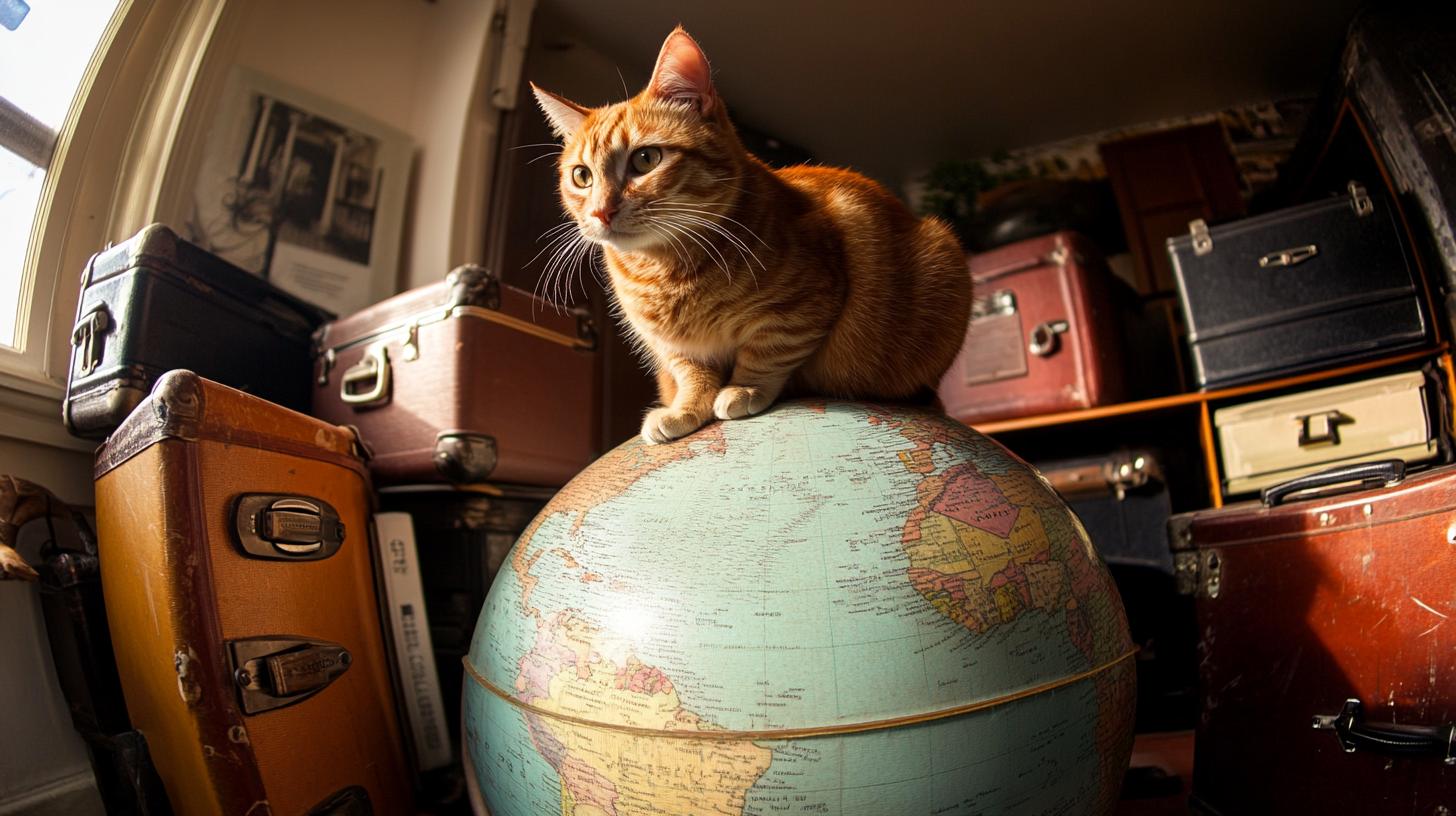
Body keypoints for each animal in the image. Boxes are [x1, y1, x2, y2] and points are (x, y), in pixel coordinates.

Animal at [532, 25, 966, 442]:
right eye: (582, 176)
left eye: (645, 159)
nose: (601, 211)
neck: (664, 271)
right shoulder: (675, 348)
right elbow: (692, 374)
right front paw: (685, 409)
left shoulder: (804, 307)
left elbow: (768, 351)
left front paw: (746, 388)